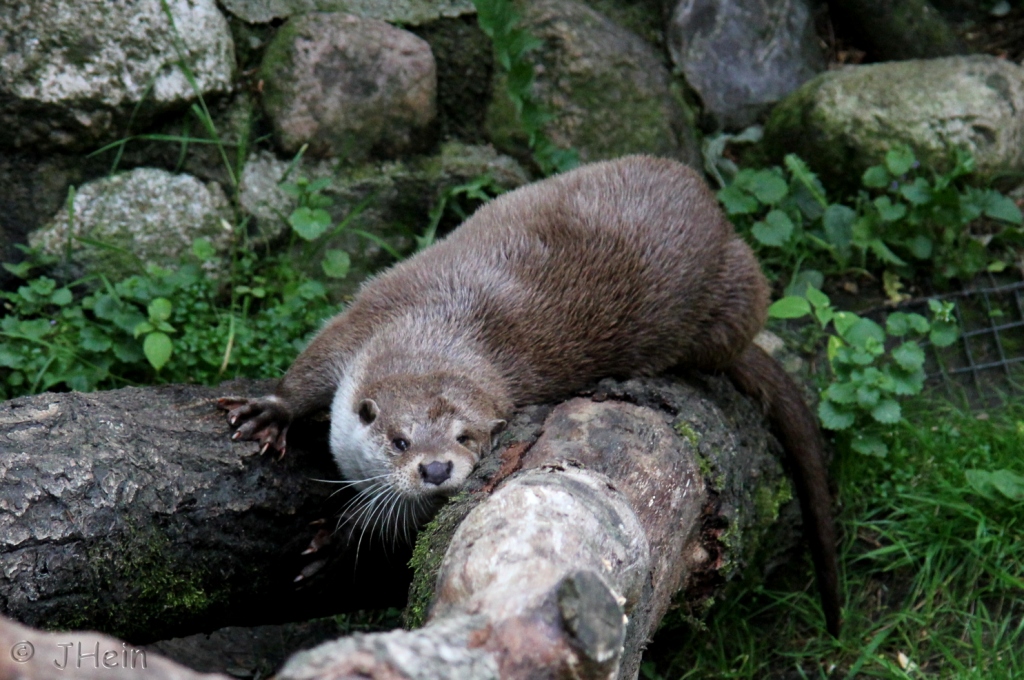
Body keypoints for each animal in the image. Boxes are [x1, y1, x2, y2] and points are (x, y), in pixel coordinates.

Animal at [222, 155, 839, 639]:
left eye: (466, 437)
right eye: (399, 440)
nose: (437, 468)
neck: (442, 325)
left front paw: (335, 550)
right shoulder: (370, 312)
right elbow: (312, 365)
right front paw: (268, 414)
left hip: (736, 300)